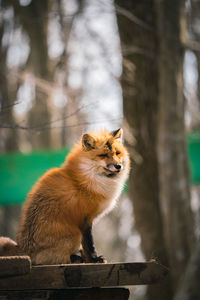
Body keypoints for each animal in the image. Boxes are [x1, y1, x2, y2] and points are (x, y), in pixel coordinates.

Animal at [0, 127, 130, 264]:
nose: (118, 166)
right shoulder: (84, 219)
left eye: (117, 153)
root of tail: (23, 248)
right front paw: (93, 259)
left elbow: (85, 247)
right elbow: (89, 244)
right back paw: (75, 258)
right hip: (74, 234)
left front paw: (88, 258)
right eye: (103, 155)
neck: (88, 178)